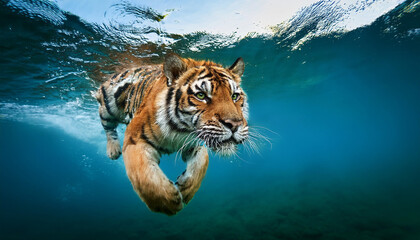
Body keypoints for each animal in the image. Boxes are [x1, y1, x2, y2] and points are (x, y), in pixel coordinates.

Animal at [95, 54, 249, 216]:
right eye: (201, 95)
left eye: (234, 96)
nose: (234, 125)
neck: (181, 129)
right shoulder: (135, 139)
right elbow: (144, 175)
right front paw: (169, 201)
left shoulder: (194, 143)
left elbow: (202, 163)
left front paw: (185, 189)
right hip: (108, 107)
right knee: (107, 126)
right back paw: (113, 151)